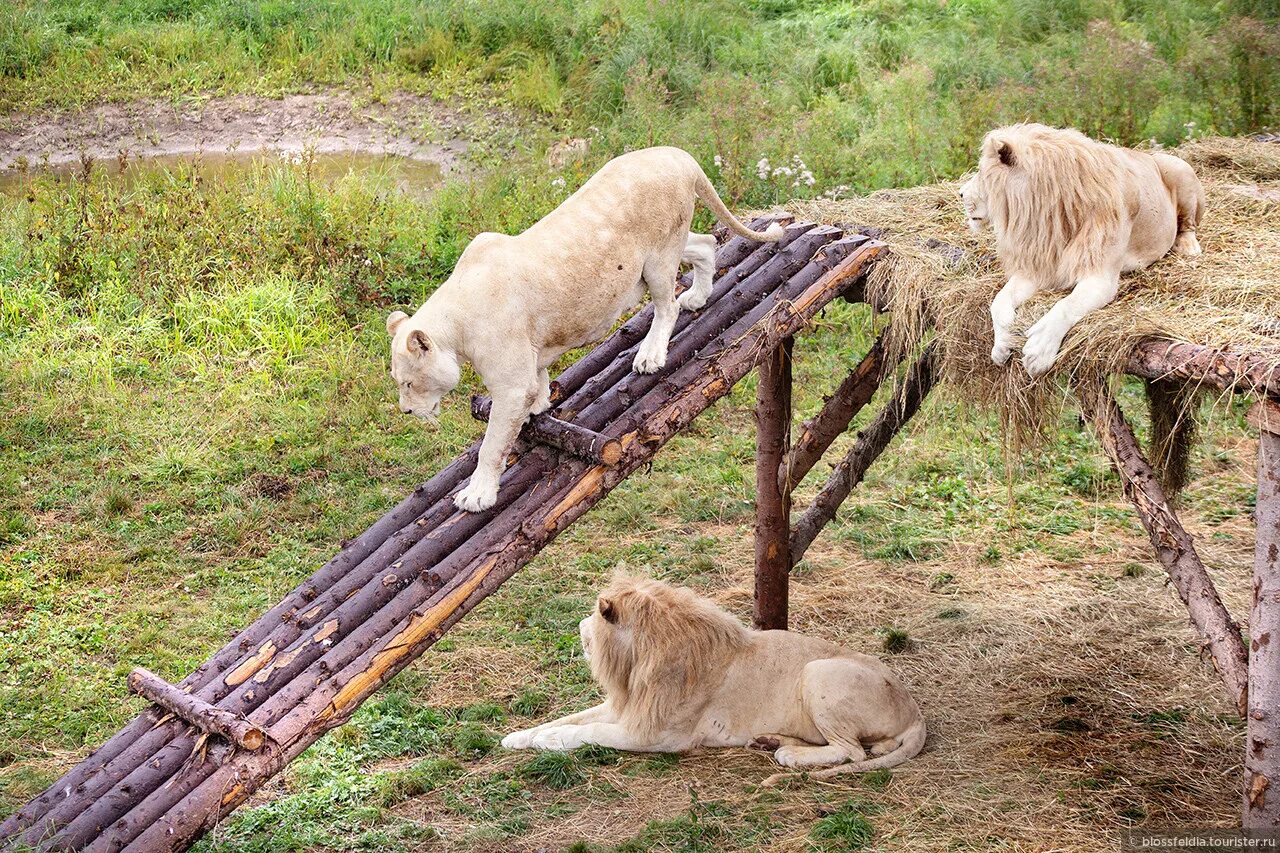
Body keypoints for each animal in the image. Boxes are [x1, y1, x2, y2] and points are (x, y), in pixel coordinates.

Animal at [381, 144, 778, 512]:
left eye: (409, 383)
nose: (407, 411)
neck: (455, 323)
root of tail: (677, 153)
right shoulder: (530, 357)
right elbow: (539, 380)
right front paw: (540, 404)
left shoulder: (510, 385)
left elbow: (492, 445)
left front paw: (477, 495)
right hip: (668, 249)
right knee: (706, 243)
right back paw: (698, 296)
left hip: (659, 257)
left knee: (668, 306)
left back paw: (651, 355)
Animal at [494, 571, 926, 778]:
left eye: (595, 620)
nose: (579, 626)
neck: (639, 665)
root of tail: (916, 713)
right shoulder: (628, 707)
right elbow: (570, 718)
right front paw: (518, 737)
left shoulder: (659, 735)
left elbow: (589, 731)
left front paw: (551, 740)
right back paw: (770, 740)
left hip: (817, 671)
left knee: (852, 752)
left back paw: (788, 754)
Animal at [962, 122, 1203, 376]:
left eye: (980, 172)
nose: (960, 193)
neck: (1047, 216)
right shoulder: (1039, 267)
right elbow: (999, 301)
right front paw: (1001, 344)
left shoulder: (1100, 277)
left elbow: (1067, 305)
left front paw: (1039, 350)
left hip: (1178, 167)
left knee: (1188, 224)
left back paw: (1188, 247)